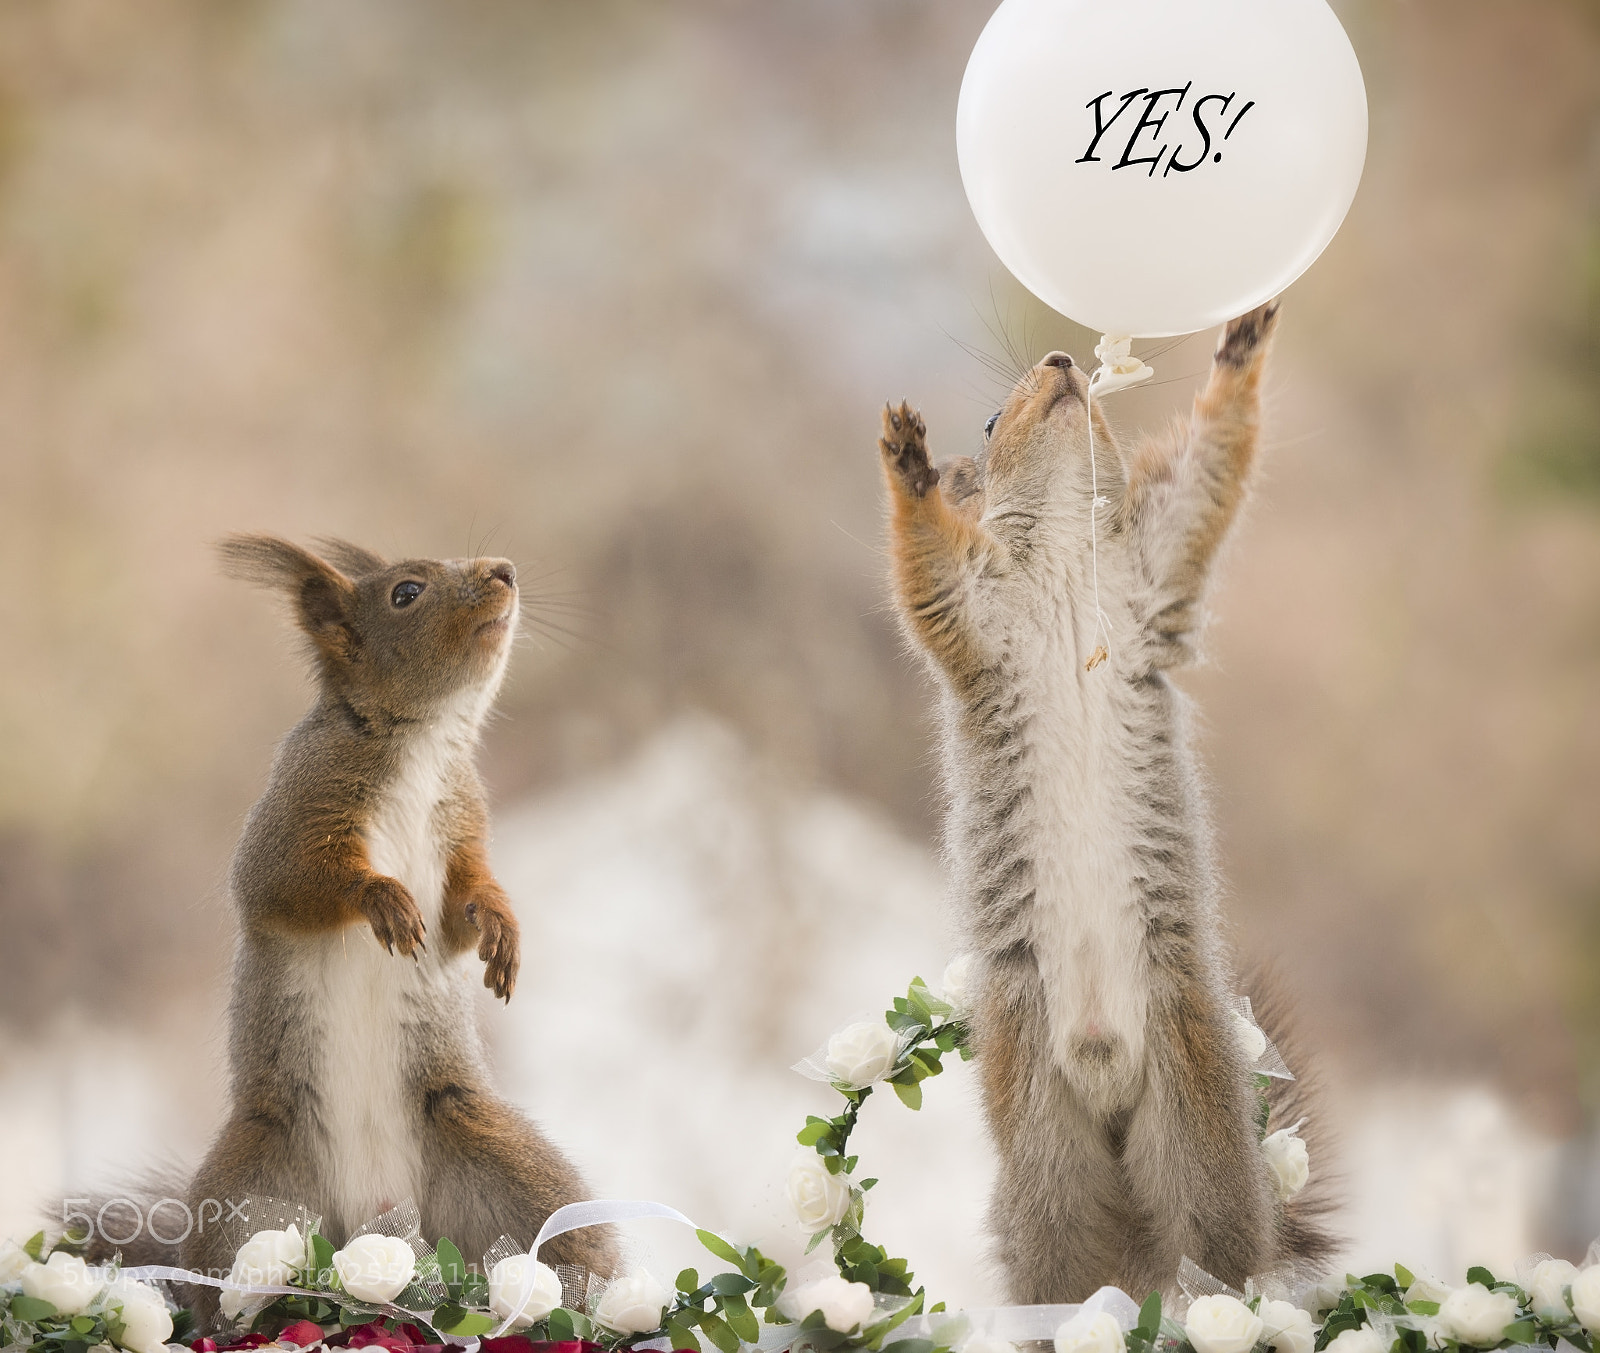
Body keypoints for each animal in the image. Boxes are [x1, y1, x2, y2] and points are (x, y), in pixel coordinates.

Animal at [80, 536, 614, 1307]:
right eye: (406, 593)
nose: (505, 572)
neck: (424, 745)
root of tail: (376, 1224)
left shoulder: (463, 831)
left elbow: (466, 905)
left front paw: (503, 931)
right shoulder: (295, 810)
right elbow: (290, 884)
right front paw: (382, 898)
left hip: (507, 1170)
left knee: (564, 1248)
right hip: (253, 1193)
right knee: (226, 1287)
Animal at [875, 304, 1335, 1302]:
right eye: (987, 423)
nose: (1061, 362)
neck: (1061, 553)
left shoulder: (1159, 556)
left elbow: (1211, 469)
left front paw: (1241, 346)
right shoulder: (968, 606)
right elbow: (922, 558)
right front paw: (906, 460)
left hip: (1195, 1121)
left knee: (1220, 1259)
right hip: (1044, 1149)